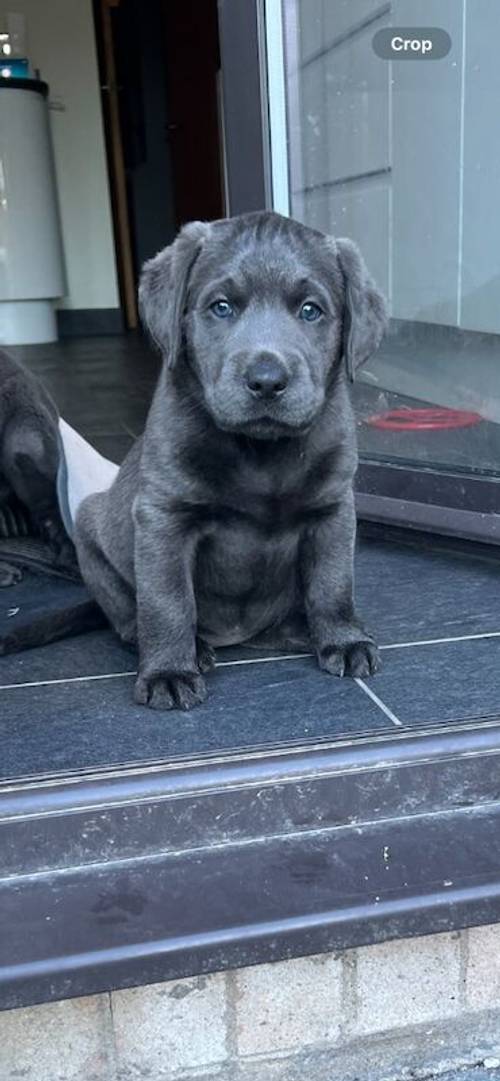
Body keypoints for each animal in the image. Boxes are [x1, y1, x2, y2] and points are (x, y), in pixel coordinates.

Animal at [75, 211, 386, 713]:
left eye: (311, 311)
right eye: (221, 307)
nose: (267, 380)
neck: (261, 451)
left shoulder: (334, 509)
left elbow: (334, 583)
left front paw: (343, 639)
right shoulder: (163, 516)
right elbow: (166, 600)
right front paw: (168, 671)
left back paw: (299, 629)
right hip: (89, 525)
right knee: (128, 617)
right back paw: (192, 649)